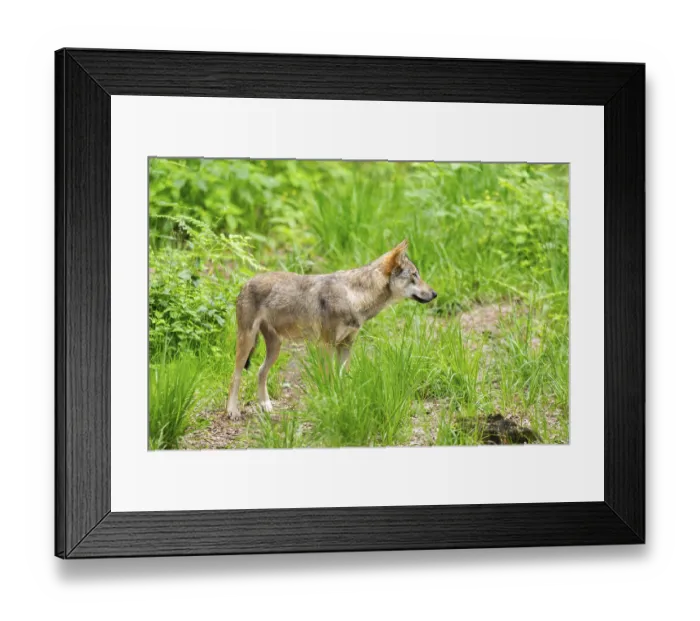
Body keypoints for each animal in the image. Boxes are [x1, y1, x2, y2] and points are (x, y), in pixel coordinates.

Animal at [226, 240, 437, 419]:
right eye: (414, 275)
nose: (435, 294)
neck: (354, 296)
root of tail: (245, 282)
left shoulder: (346, 345)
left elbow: (343, 378)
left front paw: (343, 402)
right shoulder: (325, 345)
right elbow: (329, 379)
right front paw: (330, 402)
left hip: (275, 347)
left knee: (260, 372)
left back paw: (266, 406)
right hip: (247, 342)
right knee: (235, 376)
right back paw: (232, 411)